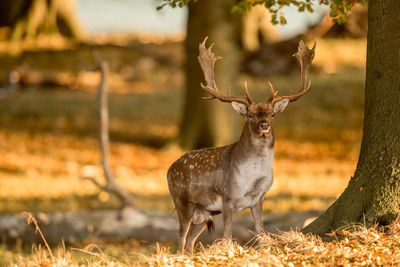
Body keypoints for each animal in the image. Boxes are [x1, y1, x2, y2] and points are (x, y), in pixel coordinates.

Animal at [166, 37, 316, 255]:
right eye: (250, 115)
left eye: (272, 114)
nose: (264, 125)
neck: (252, 178)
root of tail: (169, 169)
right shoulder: (228, 198)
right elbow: (227, 236)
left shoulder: (259, 199)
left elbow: (261, 233)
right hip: (182, 202)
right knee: (180, 238)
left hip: (205, 211)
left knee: (190, 241)